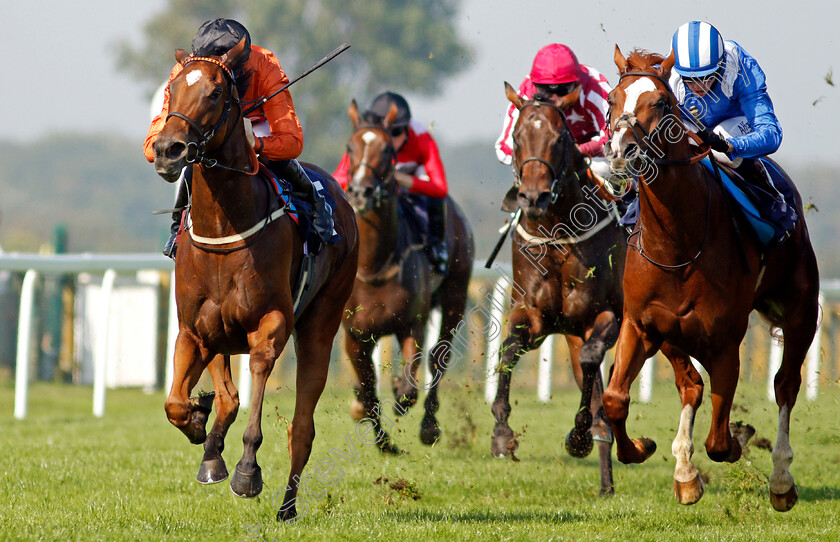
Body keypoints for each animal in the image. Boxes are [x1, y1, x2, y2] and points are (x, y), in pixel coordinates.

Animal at [151, 38, 358, 524]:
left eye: (214, 93)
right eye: (172, 89)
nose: (169, 149)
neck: (225, 224)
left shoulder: (272, 322)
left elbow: (260, 372)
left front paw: (247, 469)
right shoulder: (194, 330)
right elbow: (177, 403)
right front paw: (199, 423)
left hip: (321, 323)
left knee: (303, 427)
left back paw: (287, 506)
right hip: (220, 335)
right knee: (227, 395)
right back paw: (210, 443)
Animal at [340, 100, 472, 452]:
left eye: (387, 150)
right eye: (349, 148)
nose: (360, 191)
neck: (373, 266)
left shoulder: (412, 323)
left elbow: (411, 384)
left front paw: (401, 395)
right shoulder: (354, 334)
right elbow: (368, 387)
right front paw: (383, 440)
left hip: (455, 297)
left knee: (439, 357)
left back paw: (429, 427)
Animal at [488, 82, 628, 498]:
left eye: (559, 138)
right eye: (517, 138)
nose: (533, 198)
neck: (557, 233)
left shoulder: (607, 315)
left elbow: (591, 362)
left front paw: (578, 437)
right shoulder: (534, 316)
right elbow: (508, 351)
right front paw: (502, 433)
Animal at [604, 45, 820, 510]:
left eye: (661, 102)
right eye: (612, 98)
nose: (621, 151)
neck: (678, 244)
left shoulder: (725, 341)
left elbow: (720, 442)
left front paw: (738, 437)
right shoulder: (641, 324)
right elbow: (614, 399)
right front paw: (642, 448)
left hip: (800, 313)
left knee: (785, 385)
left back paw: (780, 480)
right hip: (672, 334)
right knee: (690, 387)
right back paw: (685, 473)